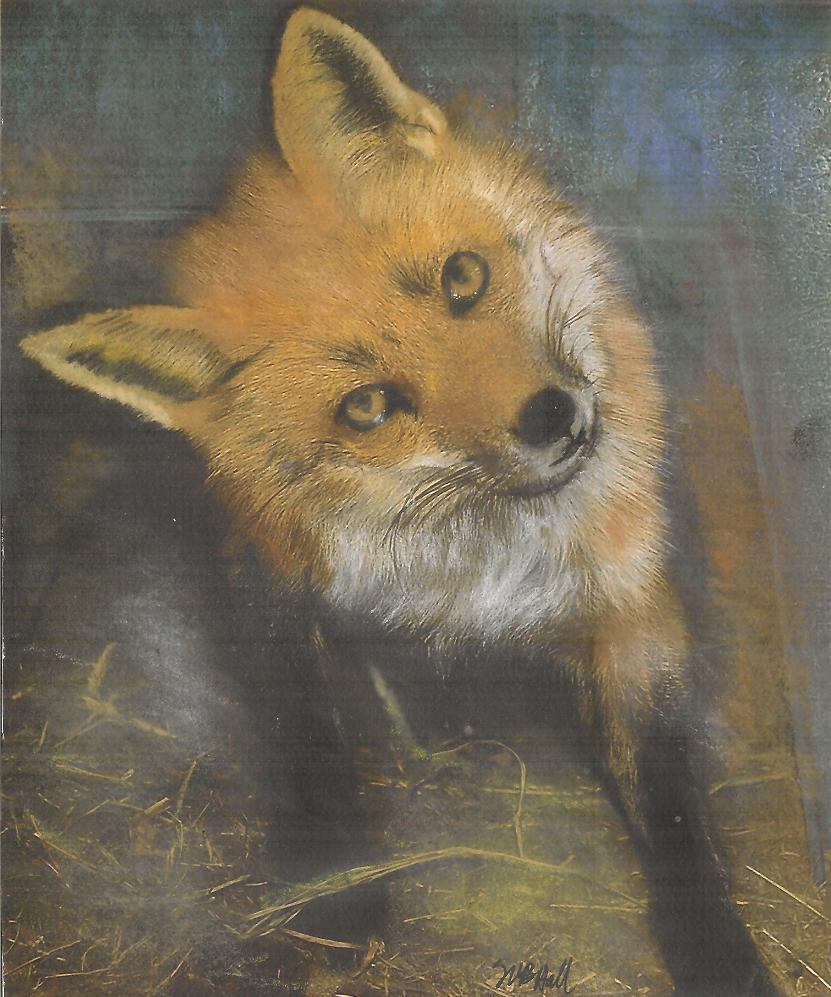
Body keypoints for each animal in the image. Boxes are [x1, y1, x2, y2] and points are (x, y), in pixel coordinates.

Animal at [21, 7, 780, 996]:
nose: (551, 417)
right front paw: (335, 879)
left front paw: (718, 949)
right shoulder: (265, 567)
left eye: (462, 278)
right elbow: (305, 726)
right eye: (369, 407)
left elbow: (669, 796)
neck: (480, 547)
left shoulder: (628, 599)